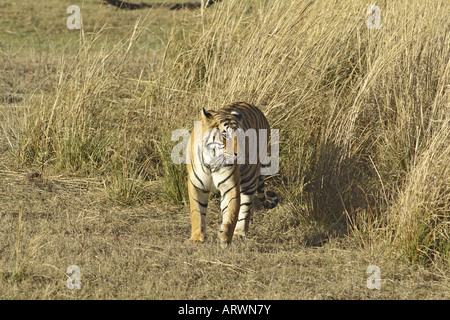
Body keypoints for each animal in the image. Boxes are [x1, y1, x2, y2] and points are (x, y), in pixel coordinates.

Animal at [185, 100, 278, 248]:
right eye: (225, 136)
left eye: (241, 136)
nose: (240, 153)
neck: (213, 161)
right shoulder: (196, 185)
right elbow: (197, 212)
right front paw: (197, 239)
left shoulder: (230, 185)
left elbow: (232, 212)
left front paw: (225, 236)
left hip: (250, 179)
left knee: (246, 207)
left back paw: (239, 233)